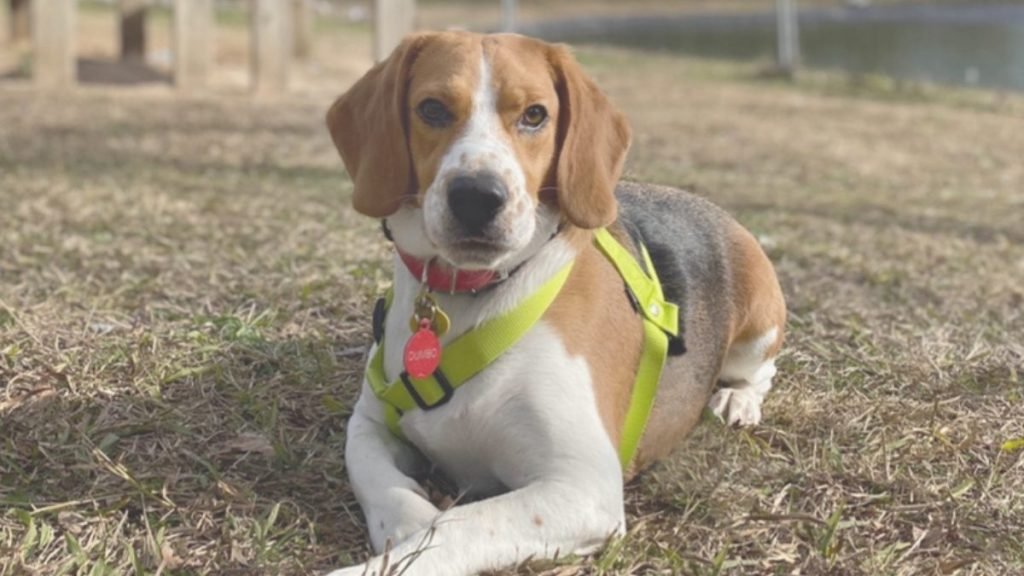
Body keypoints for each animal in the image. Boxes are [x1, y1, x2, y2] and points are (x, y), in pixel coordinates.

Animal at [325, 31, 782, 573]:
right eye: (432, 109)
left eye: (535, 115)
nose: (477, 196)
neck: (475, 294)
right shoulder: (369, 423)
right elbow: (382, 482)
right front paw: (410, 526)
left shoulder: (582, 488)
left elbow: (460, 524)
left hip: (759, 324)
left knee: (761, 372)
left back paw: (736, 399)